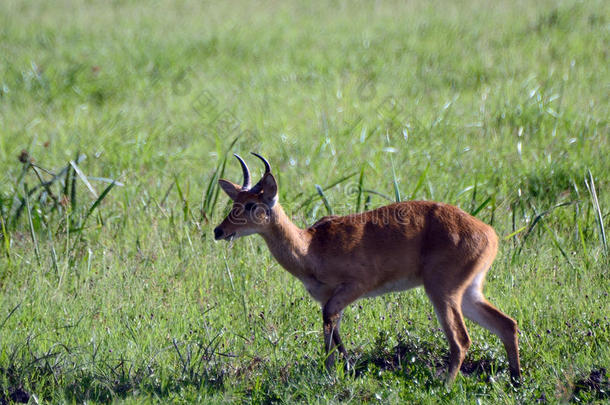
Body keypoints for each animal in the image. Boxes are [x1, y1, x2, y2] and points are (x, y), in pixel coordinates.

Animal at [213, 152, 516, 382]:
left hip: (442, 292)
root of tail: (489, 233)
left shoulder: (354, 287)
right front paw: (336, 371)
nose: (219, 231)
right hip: (468, 292)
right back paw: (515, 381)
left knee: (461, 340)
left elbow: (329, 321)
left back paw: (445, 385)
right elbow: (331, 328)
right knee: (507, 324)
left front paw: (339, 370)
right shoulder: (328, 298)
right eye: (234, 202)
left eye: (251, 204)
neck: (310, 247)